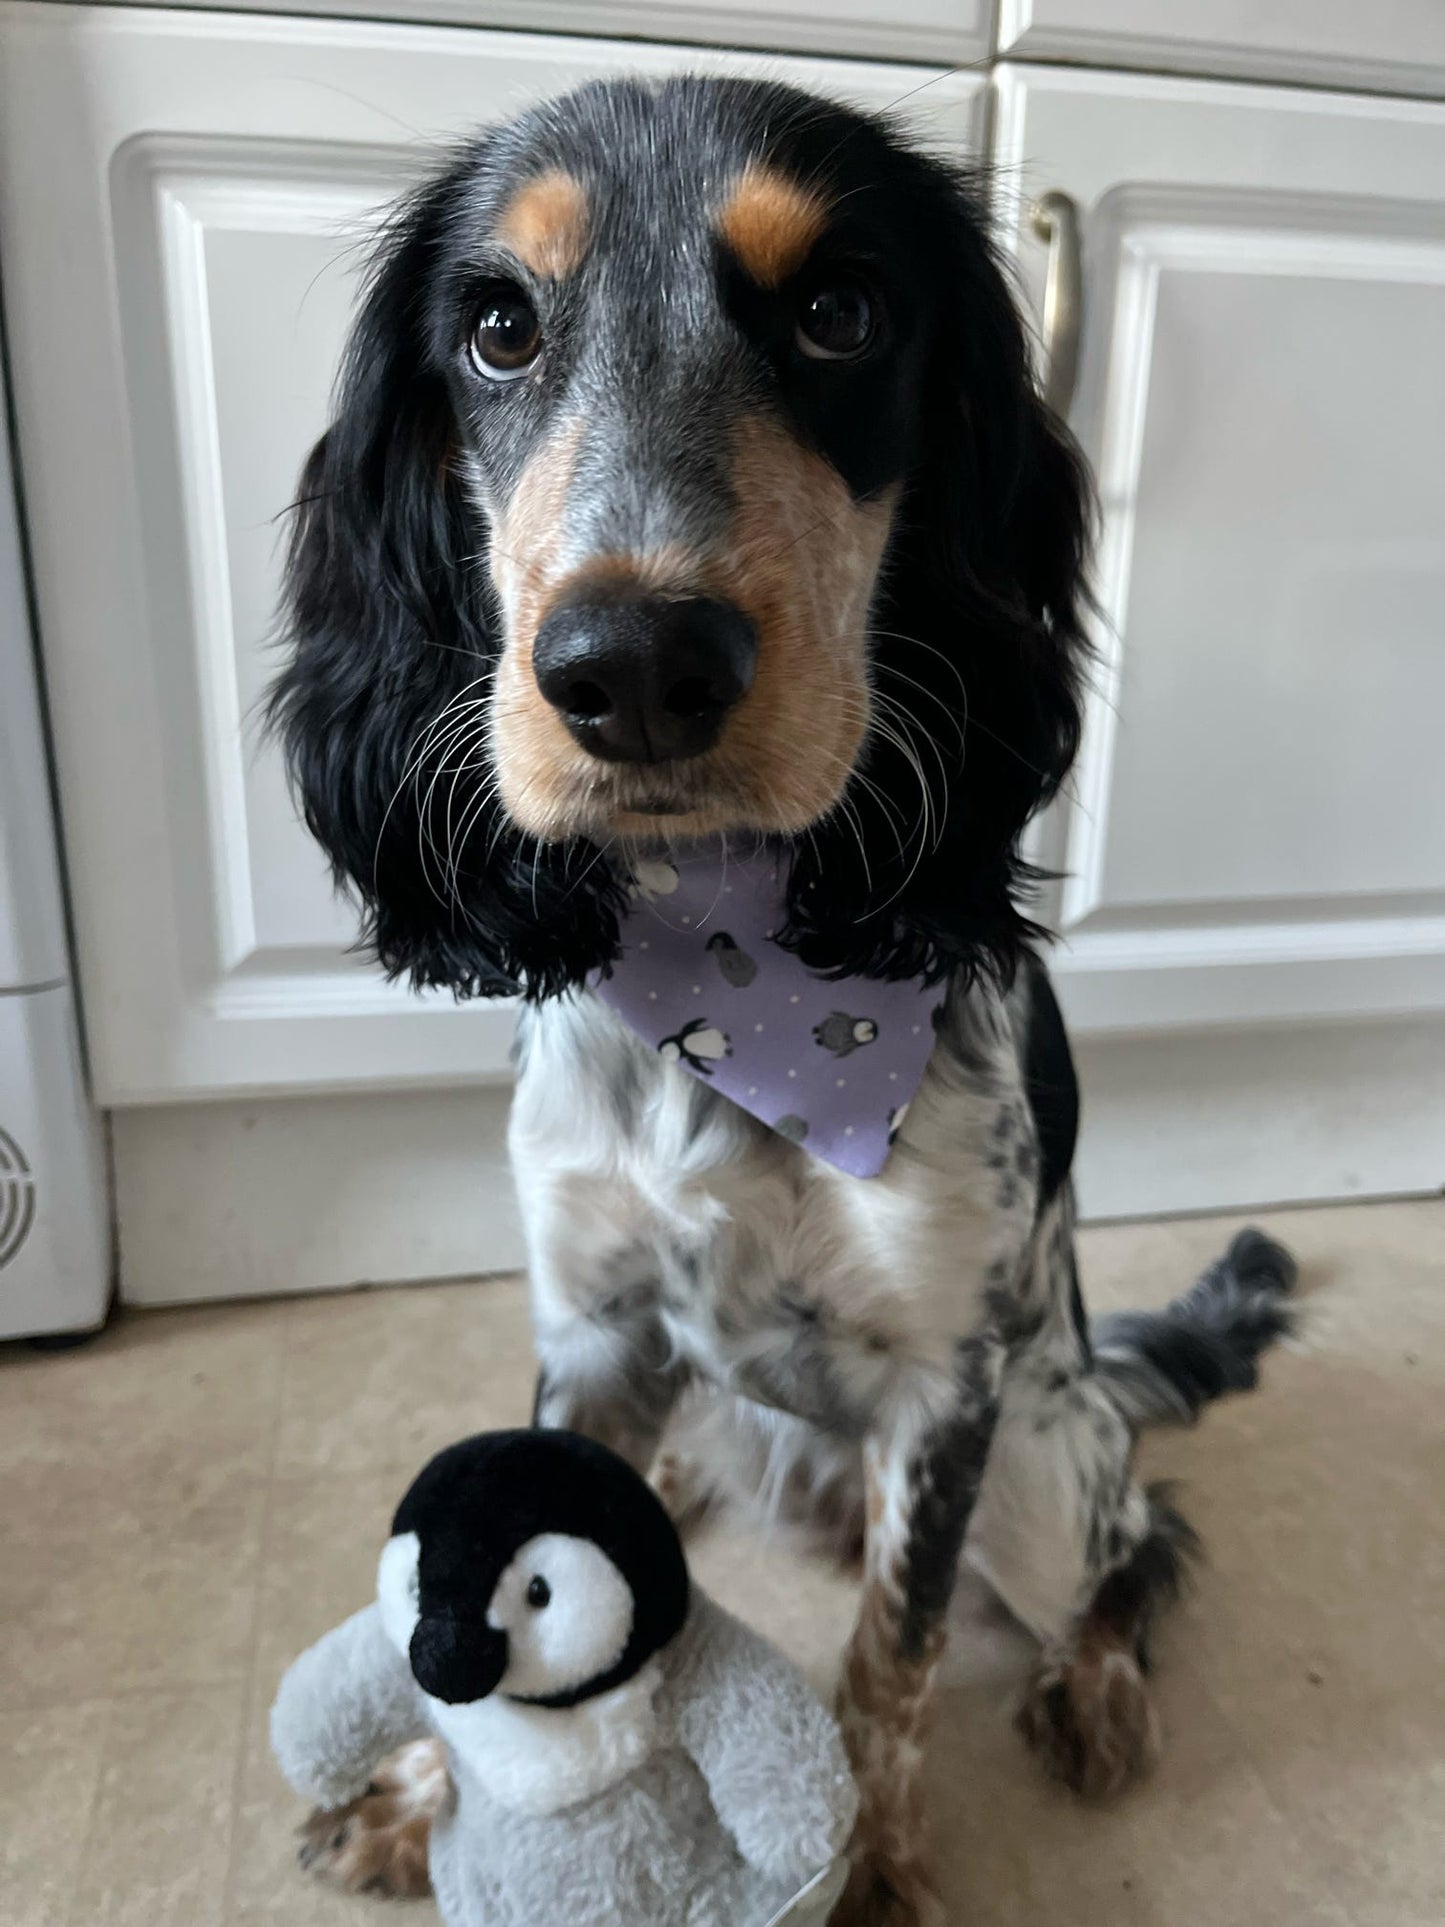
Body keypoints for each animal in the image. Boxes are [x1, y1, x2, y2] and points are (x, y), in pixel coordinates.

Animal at [271, 75, 1302, 1927]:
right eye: (497, 329)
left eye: (841, 312)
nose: (632, 668)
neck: (731, 977)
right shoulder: (591, 1326)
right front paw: (423, 1798)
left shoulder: (948, 1390)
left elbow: (891, 1660)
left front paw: (873, 1868)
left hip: (1046, 1465)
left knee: (1135, 1549)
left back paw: (1096, 1685)